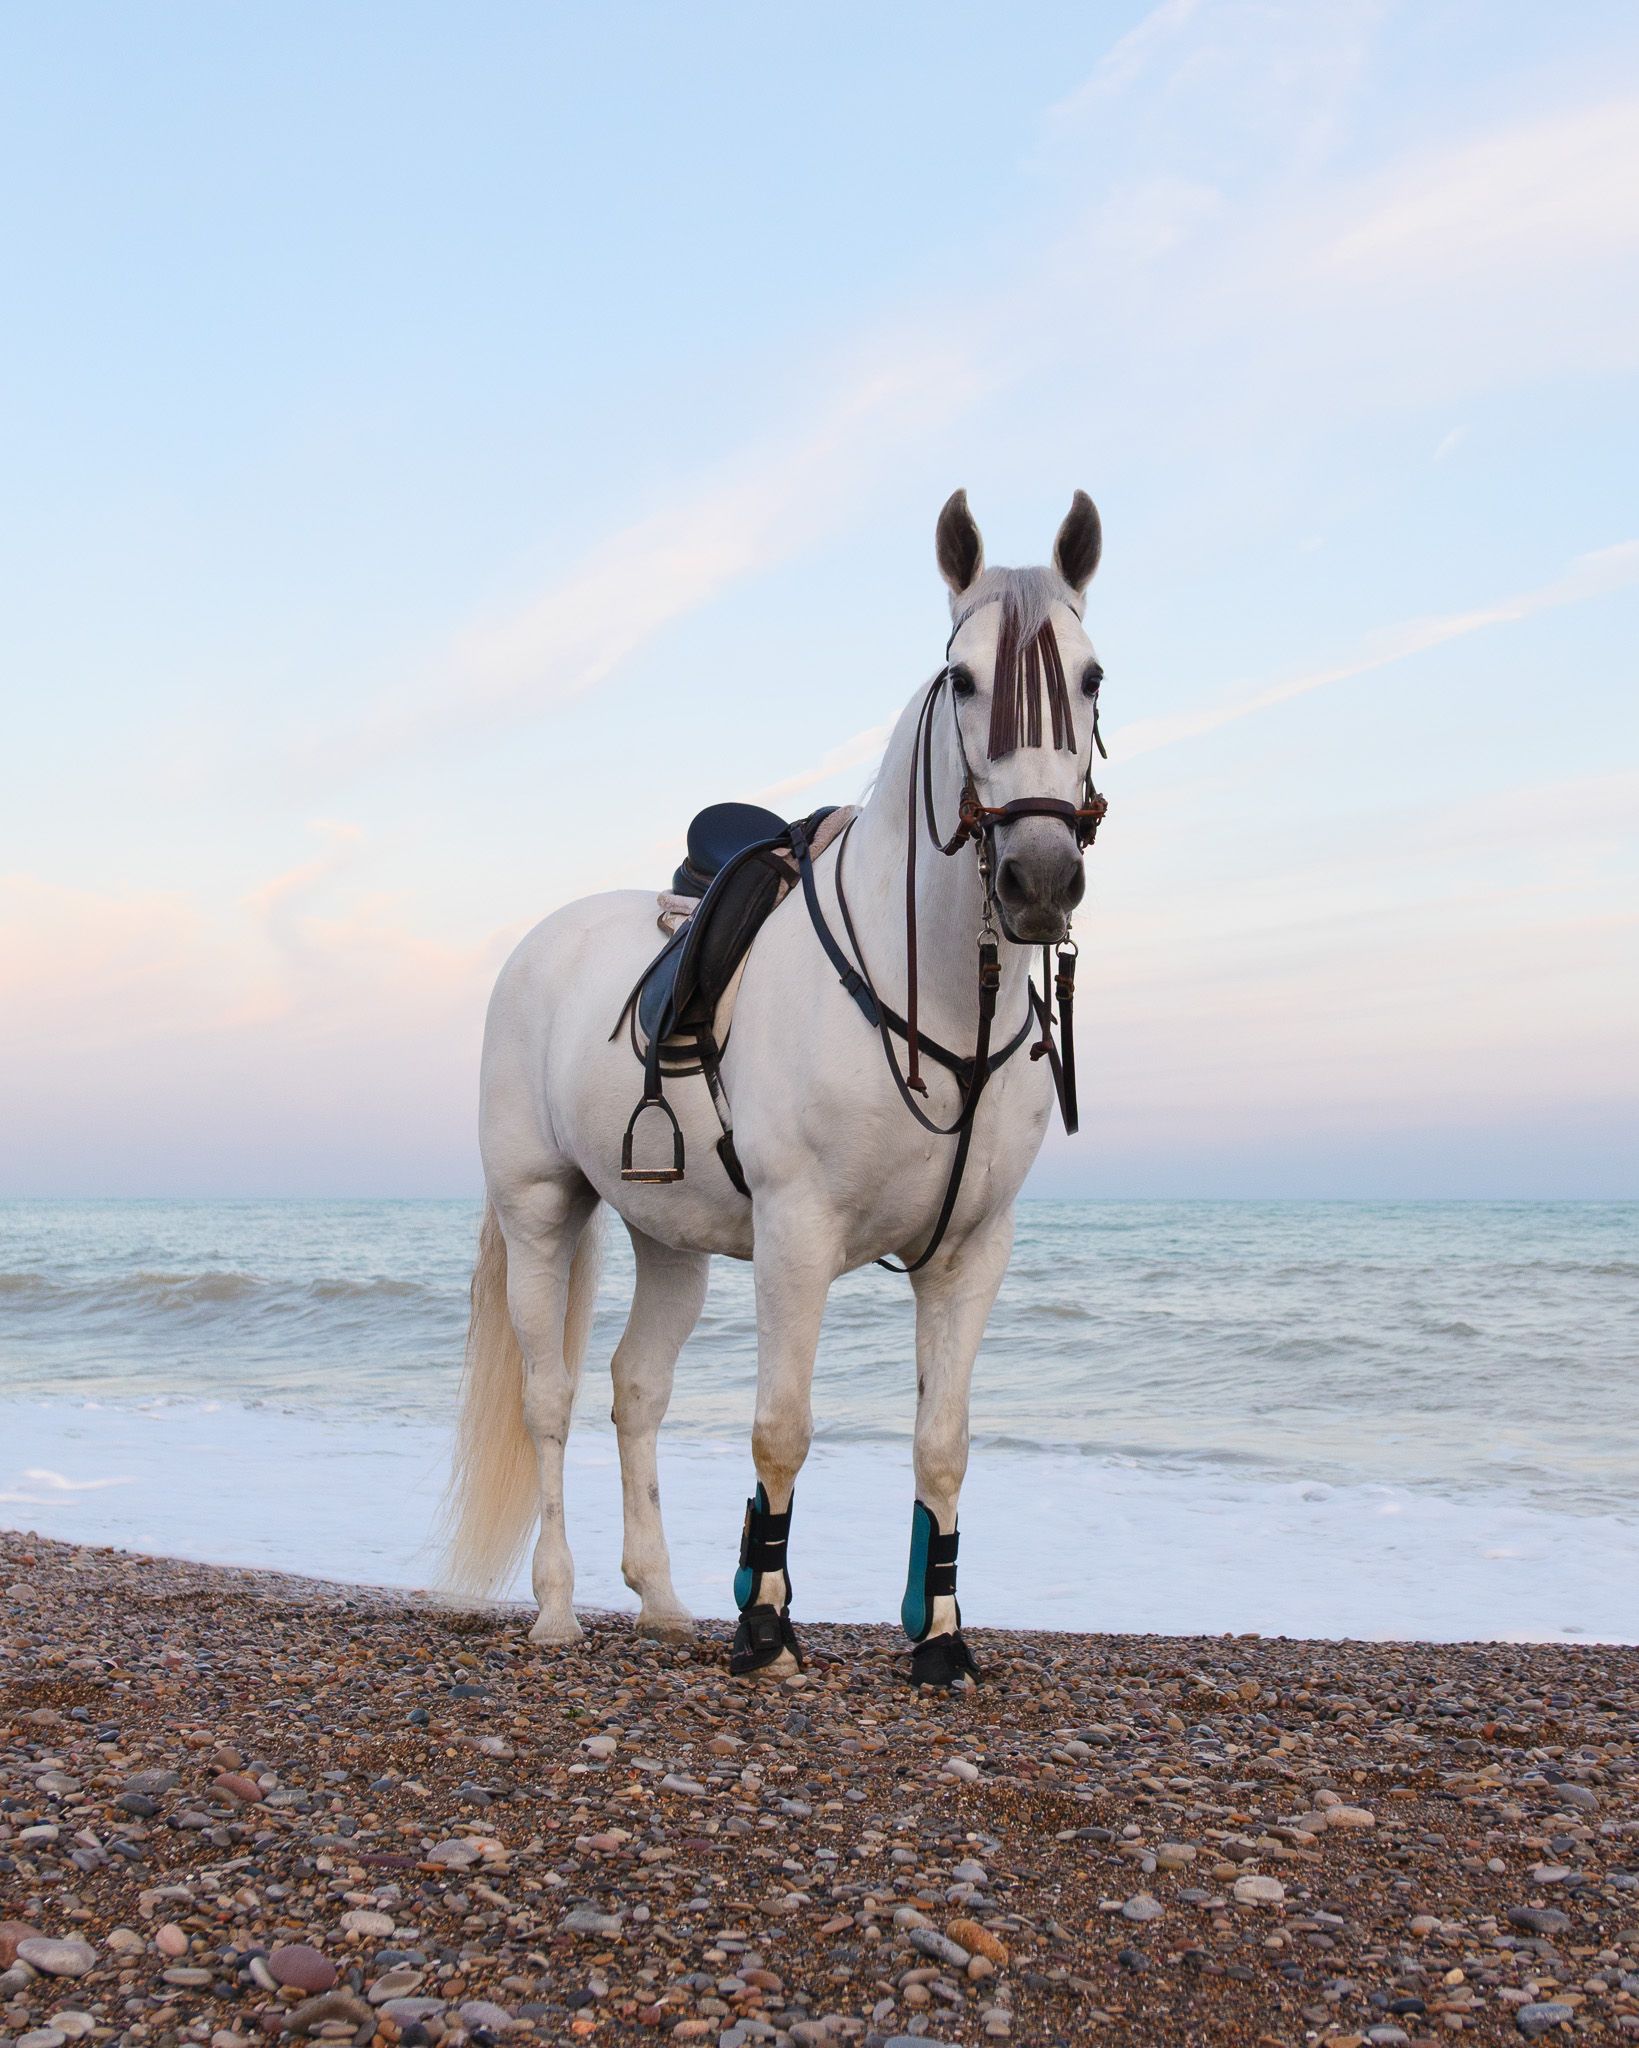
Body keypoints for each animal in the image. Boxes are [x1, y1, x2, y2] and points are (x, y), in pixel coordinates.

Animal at [442, 488, 1107, 1684]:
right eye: (963, 679)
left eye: (1090, 678)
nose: (1040, 879)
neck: (938, 992)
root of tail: (540, 943)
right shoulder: (797, 1235)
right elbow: (782, 1426)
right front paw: (765, 1625)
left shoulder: (972, 1251)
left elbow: (942, 1443)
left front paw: (939, 1637)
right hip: (539, 1210)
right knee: (549, 1397)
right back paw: (558, 1605)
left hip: (667, 1239)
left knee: (635, 1388)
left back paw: (661, 1598)